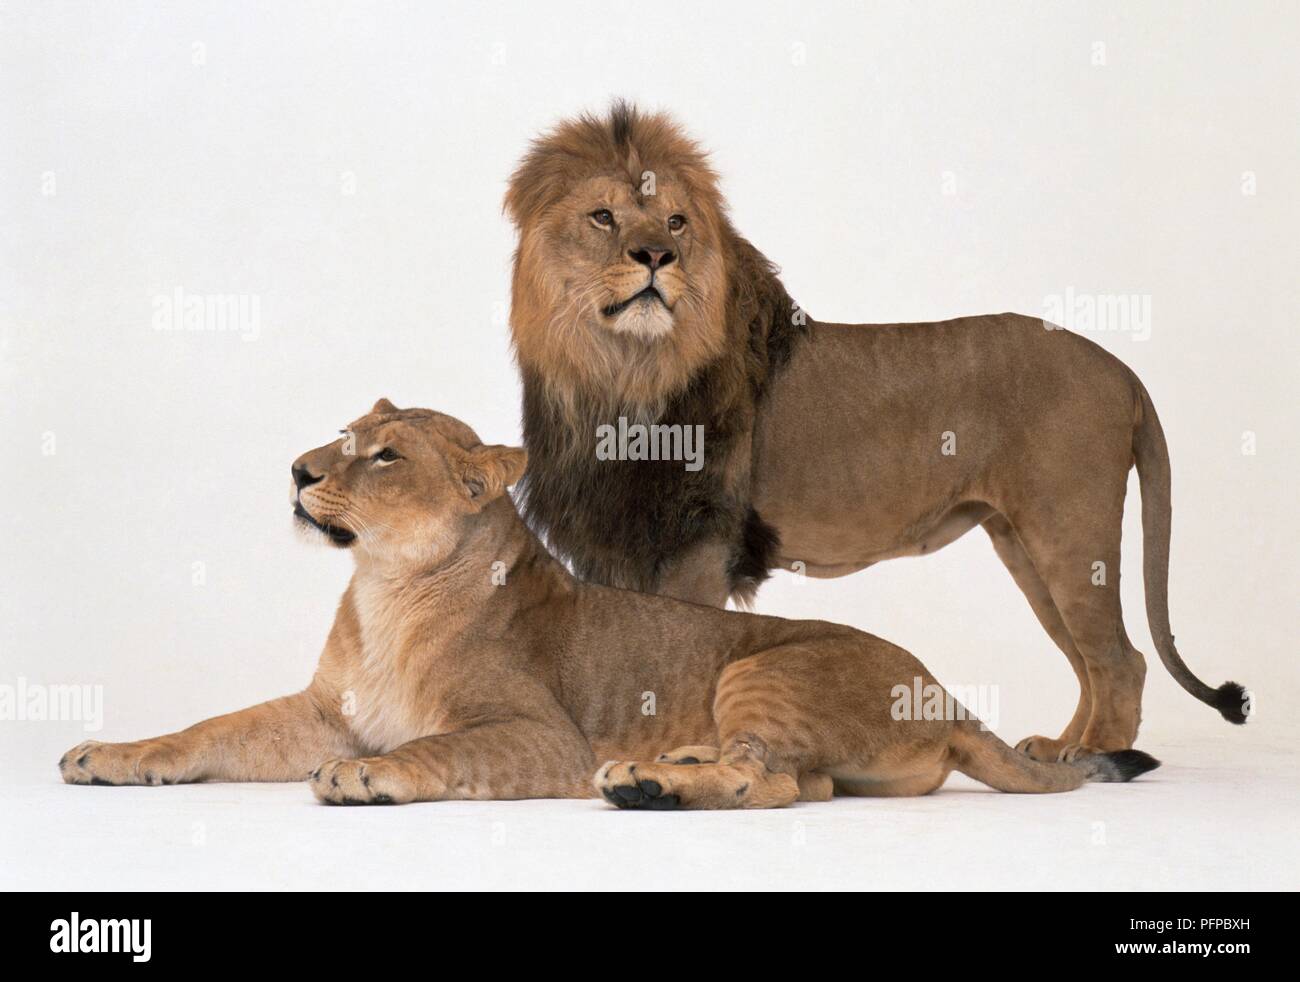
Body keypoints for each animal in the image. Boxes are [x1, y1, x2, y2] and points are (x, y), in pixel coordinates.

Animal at [58, 400, 1159, 806]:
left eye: (386, 455)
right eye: (342, 434)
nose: (297, 471)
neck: (382, 589)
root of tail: (944, 691)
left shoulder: (542, 737)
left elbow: (436, 749)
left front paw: (368, 779)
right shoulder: (327, 710)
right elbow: (211, 727)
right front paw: (109, 754)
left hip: (764, 665)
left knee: (769, 779)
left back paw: (644, 781)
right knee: (794, 785)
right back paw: (668, 770)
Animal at [504, 102, 1249, 764]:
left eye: (677, 221)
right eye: (603, 215)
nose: (656, 254)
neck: (615, 372)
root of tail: (1122, 369)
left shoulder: (698, 542)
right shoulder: (614, 544)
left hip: (1069, 528)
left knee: (1120, 659)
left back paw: (1096, 756)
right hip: (1024, 545)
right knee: (1088, 659)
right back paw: (1059, 747)